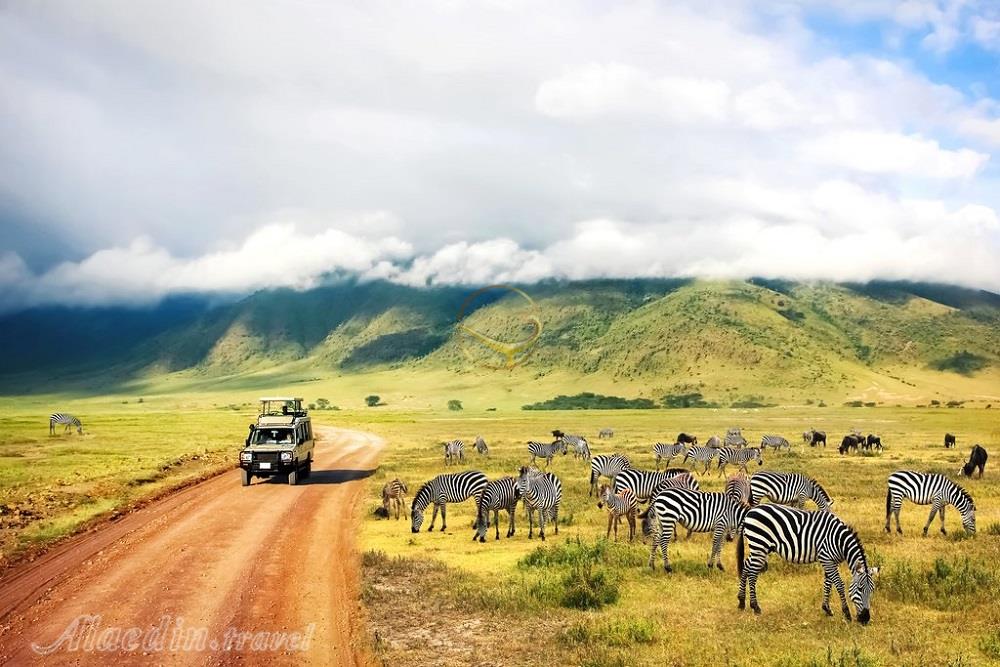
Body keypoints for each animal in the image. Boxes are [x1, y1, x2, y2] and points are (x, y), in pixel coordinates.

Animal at [736, 506, 876, 628]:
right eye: (859, 589)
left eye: (872, 591)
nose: (865, 619)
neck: (839, 541)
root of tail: (750, 512)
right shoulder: (826, 558)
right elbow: (839, 585)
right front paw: (846, 614)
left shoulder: (830, 560)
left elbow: (828, 584)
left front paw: (827, 609)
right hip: (759, 544)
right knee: (752, 573)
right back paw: (755, 607)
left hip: (760, 547)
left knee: (746, 566)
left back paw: (741, 602)